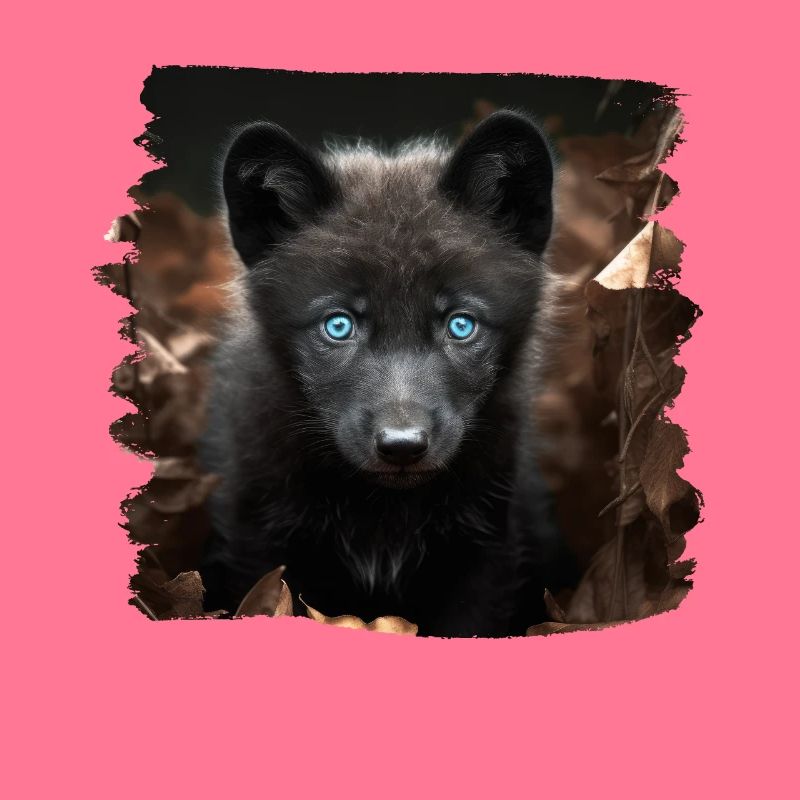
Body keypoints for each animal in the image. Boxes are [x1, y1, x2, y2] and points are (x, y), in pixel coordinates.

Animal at [199, 110, 574, 636]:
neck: (383, 516)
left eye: (461, 324)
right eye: (338, 325)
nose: (402, 446)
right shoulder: (256, 539)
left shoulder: (488, 550)